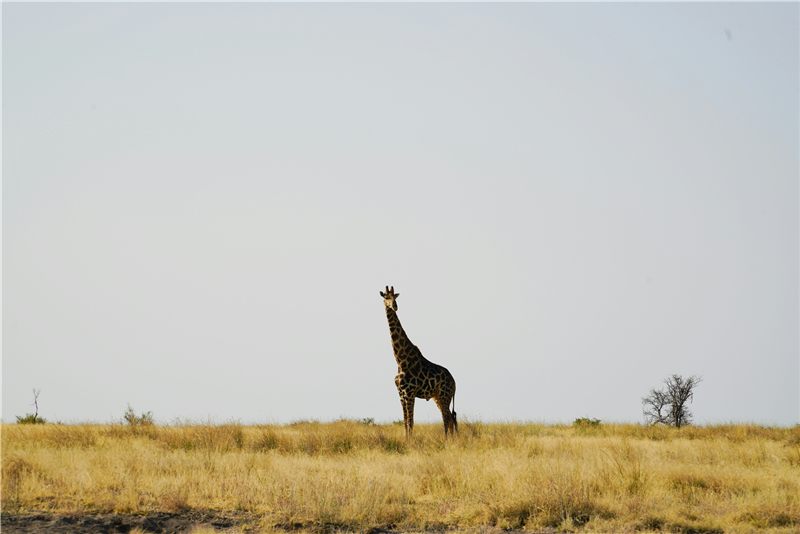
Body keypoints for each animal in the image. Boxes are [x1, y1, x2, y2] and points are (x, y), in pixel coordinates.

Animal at [380, 286, 457, 438]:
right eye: (386, 297)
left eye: (395, 297)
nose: (394, 306)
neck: (400, 360)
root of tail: (455, 383)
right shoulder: (401, 394)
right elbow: (405, 421)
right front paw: (406, 440)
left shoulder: (410, 393)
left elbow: (411, 421)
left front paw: (410, 441)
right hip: (438, 397)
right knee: (450, 418)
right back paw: (452, 440)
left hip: (444, 395)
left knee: (447, 418)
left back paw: (447, 440)